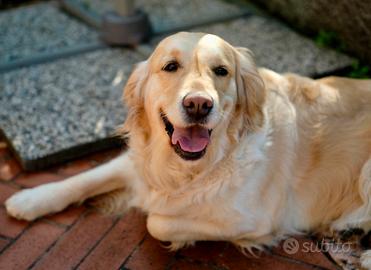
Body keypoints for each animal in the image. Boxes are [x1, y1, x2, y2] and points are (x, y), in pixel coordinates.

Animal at [4, 32, 371, 268]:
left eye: (221, 71)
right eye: (170, 66)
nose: (198, 104)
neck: (190, 167)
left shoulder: (256, 219)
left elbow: (157, 221)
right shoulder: (142, 159)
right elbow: (86, 178)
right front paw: (31, 199)